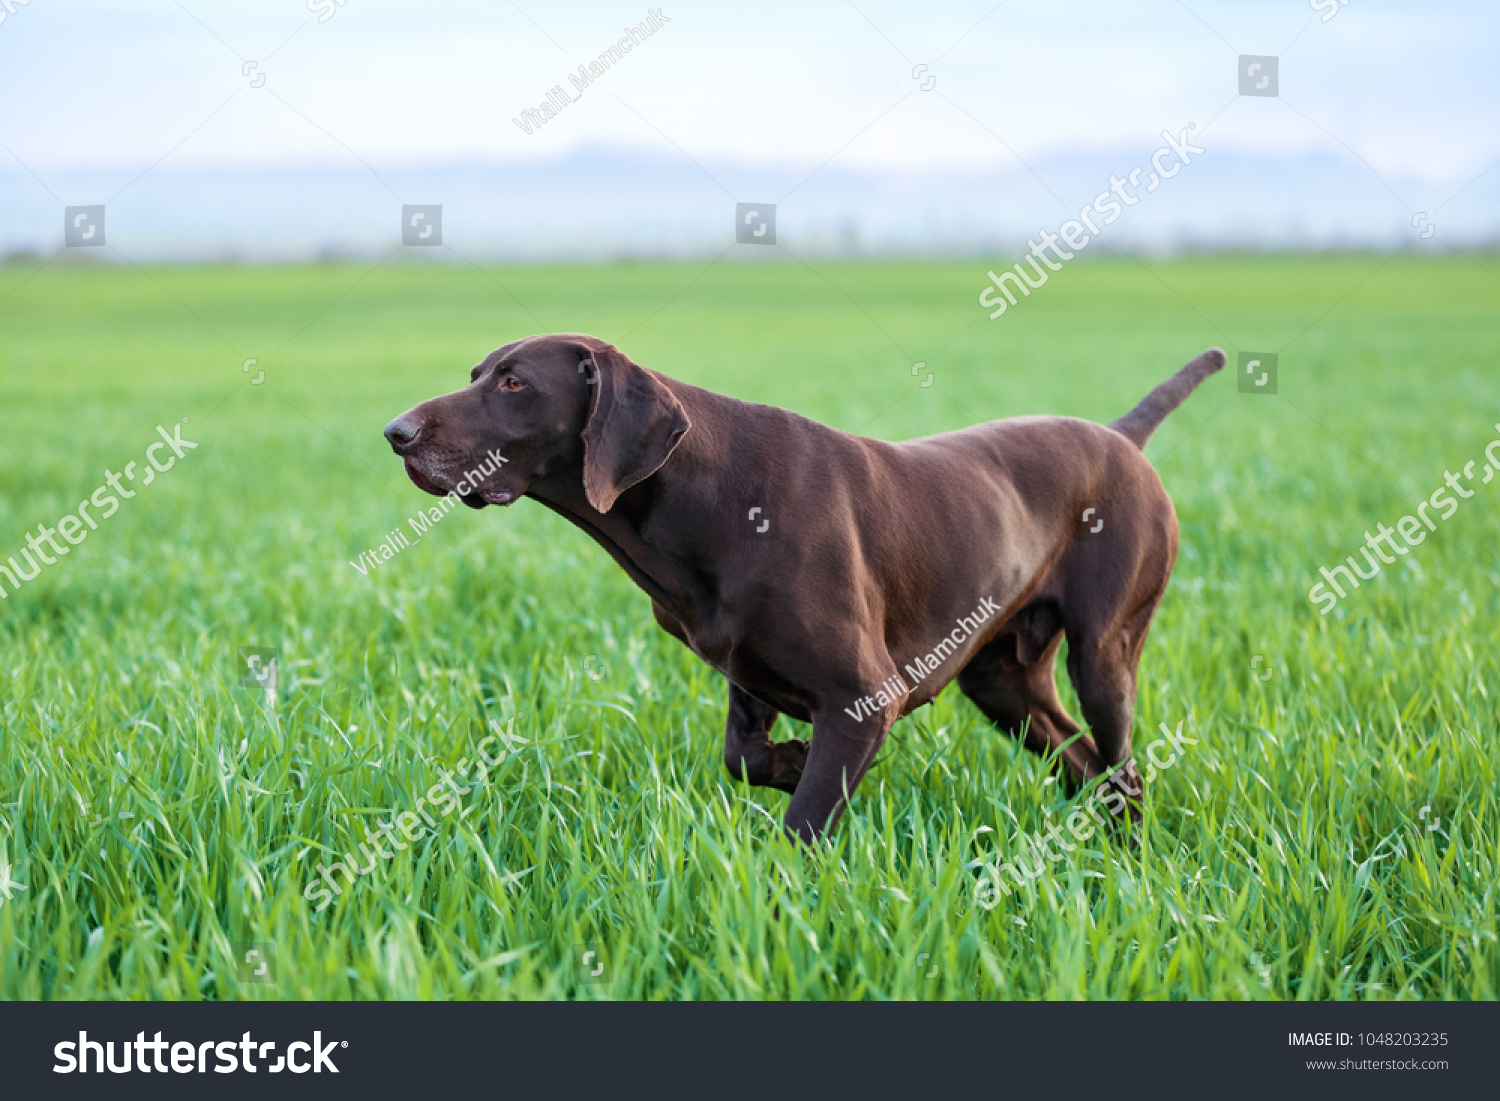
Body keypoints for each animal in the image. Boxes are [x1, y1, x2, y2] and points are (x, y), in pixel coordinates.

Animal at [384, 340, 1218, 840]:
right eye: (475, 376)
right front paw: (788, 759)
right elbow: (743, 756)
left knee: (1123, 768)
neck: (704, 496)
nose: (396, 432)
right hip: (1004, 680)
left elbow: (806, 825)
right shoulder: (748, 674)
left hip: (1103, 654)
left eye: (515, 382)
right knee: (1088, 767)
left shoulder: (862, 696)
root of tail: (1122, 438)